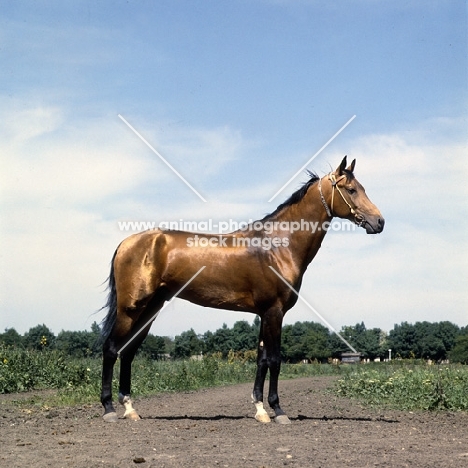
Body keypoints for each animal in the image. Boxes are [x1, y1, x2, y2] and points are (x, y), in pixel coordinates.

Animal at [98, 156, 384, 424]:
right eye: (351, 189)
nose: (379, 221)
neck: (278, 245)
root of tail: (126, 243)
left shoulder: (264, 314)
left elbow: (261, 360)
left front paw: (260, 410)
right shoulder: (274, 312)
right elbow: (275, 360)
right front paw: (278, 411)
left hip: (150, 309)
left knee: (128, 352)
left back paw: (130, 409)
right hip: (130, 309)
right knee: (111, 349)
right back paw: (109, 409)